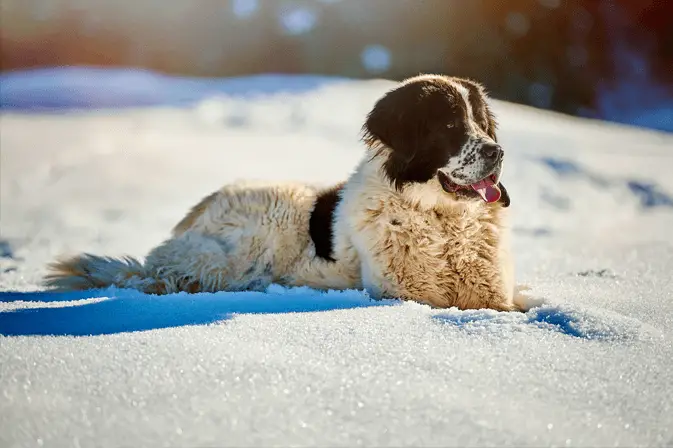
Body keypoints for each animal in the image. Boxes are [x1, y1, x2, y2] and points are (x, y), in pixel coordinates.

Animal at [44, 73, 524, 312]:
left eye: (483, 123)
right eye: (449, 124)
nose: (498, 151)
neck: (442, 220)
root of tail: (200, 208)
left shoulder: (494, 294)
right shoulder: (405, 293)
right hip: (260, 231)